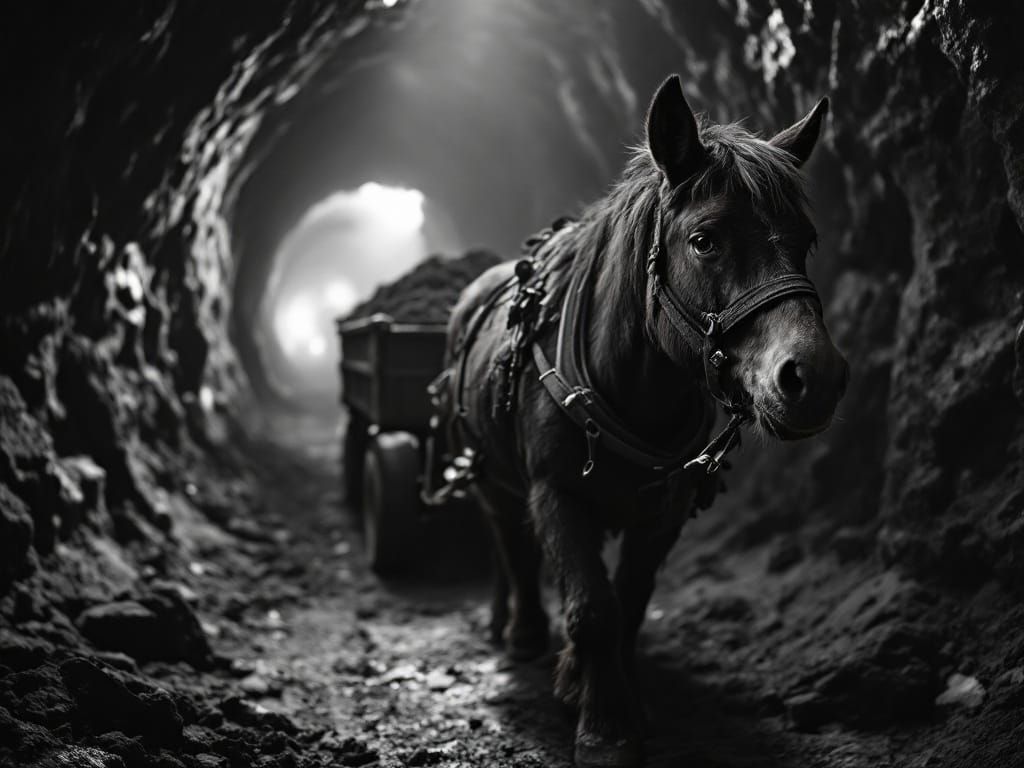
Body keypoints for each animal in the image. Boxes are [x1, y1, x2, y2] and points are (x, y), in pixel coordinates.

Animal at [440, 75, 849, 768]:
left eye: (806, 241)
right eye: (705, 239)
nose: (814, 377)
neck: (629, 386)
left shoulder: (664, 508)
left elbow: (627, 605)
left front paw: (618, 696)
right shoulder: (557, 493)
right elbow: (592, 610)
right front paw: (603, 728)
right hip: (492, 478)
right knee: (508, 546)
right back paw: (519, 630)